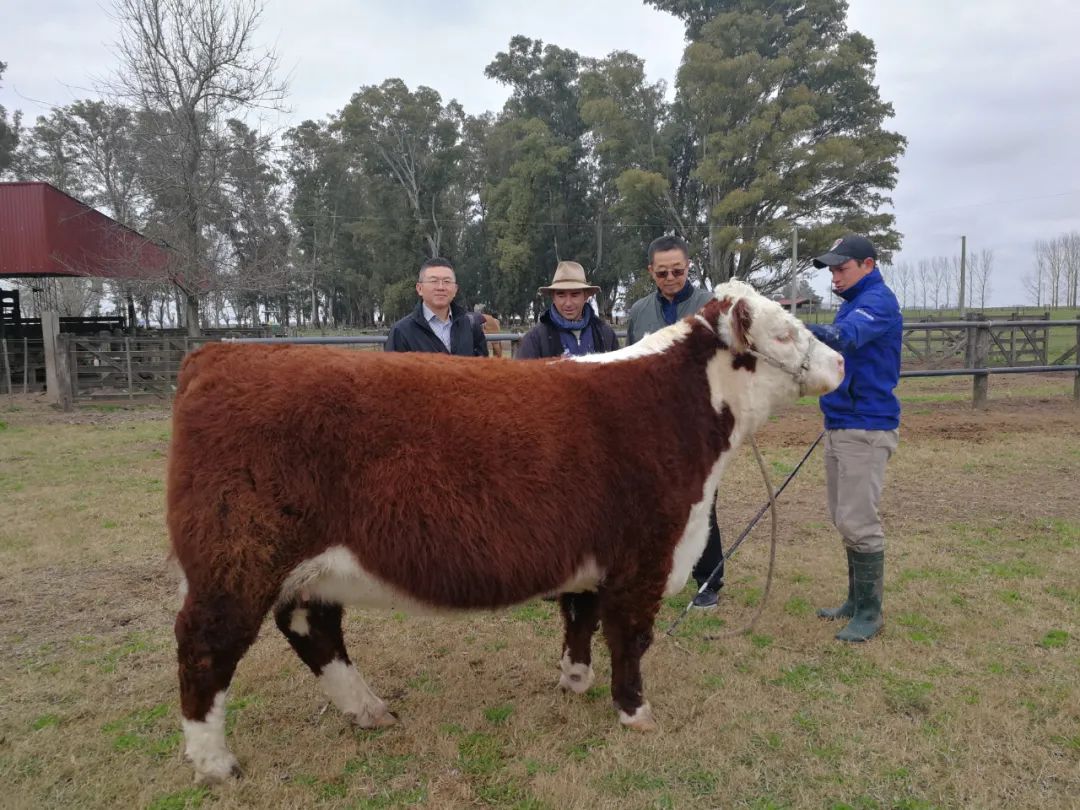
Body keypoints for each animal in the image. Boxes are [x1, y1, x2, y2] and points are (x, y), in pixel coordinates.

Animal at [168, 278, 842, 781]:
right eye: (783, 331)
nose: (838, 361)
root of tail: (216, 355)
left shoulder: (593, 558)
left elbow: (580, 619)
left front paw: (574, 681)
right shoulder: (645, 555)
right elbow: (630, 638)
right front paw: (634, 711)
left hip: (308, 567)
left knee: (313, 628)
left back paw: (368, 711)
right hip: (235, 560)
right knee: (204, 645)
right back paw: (216, 764)